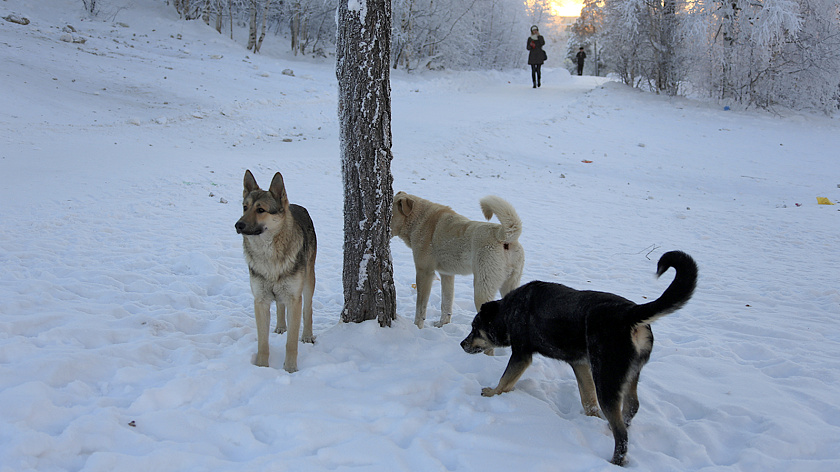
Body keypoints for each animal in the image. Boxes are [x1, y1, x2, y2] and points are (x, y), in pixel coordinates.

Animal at [390, 192, 520, 328]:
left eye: (390, 214)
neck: (418, 219)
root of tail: (503, 236)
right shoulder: (447, 275)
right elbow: (446, 303)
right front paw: (442, 324)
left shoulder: (424, 272)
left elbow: (420, 307)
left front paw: (417, 327)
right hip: (509, 285)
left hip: (481, 289)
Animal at [460, 251, 696, 464]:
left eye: (474, 328)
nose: (462, 344)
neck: (507, 313)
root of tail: (631, 313)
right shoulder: (580, 364)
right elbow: (588, 398)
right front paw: (591, 418)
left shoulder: (521, 355)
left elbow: (505, 380)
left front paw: (492, 393)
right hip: (628, 374)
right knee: (630, 408)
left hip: (606, 378)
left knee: (621, 433)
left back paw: (614, 461)